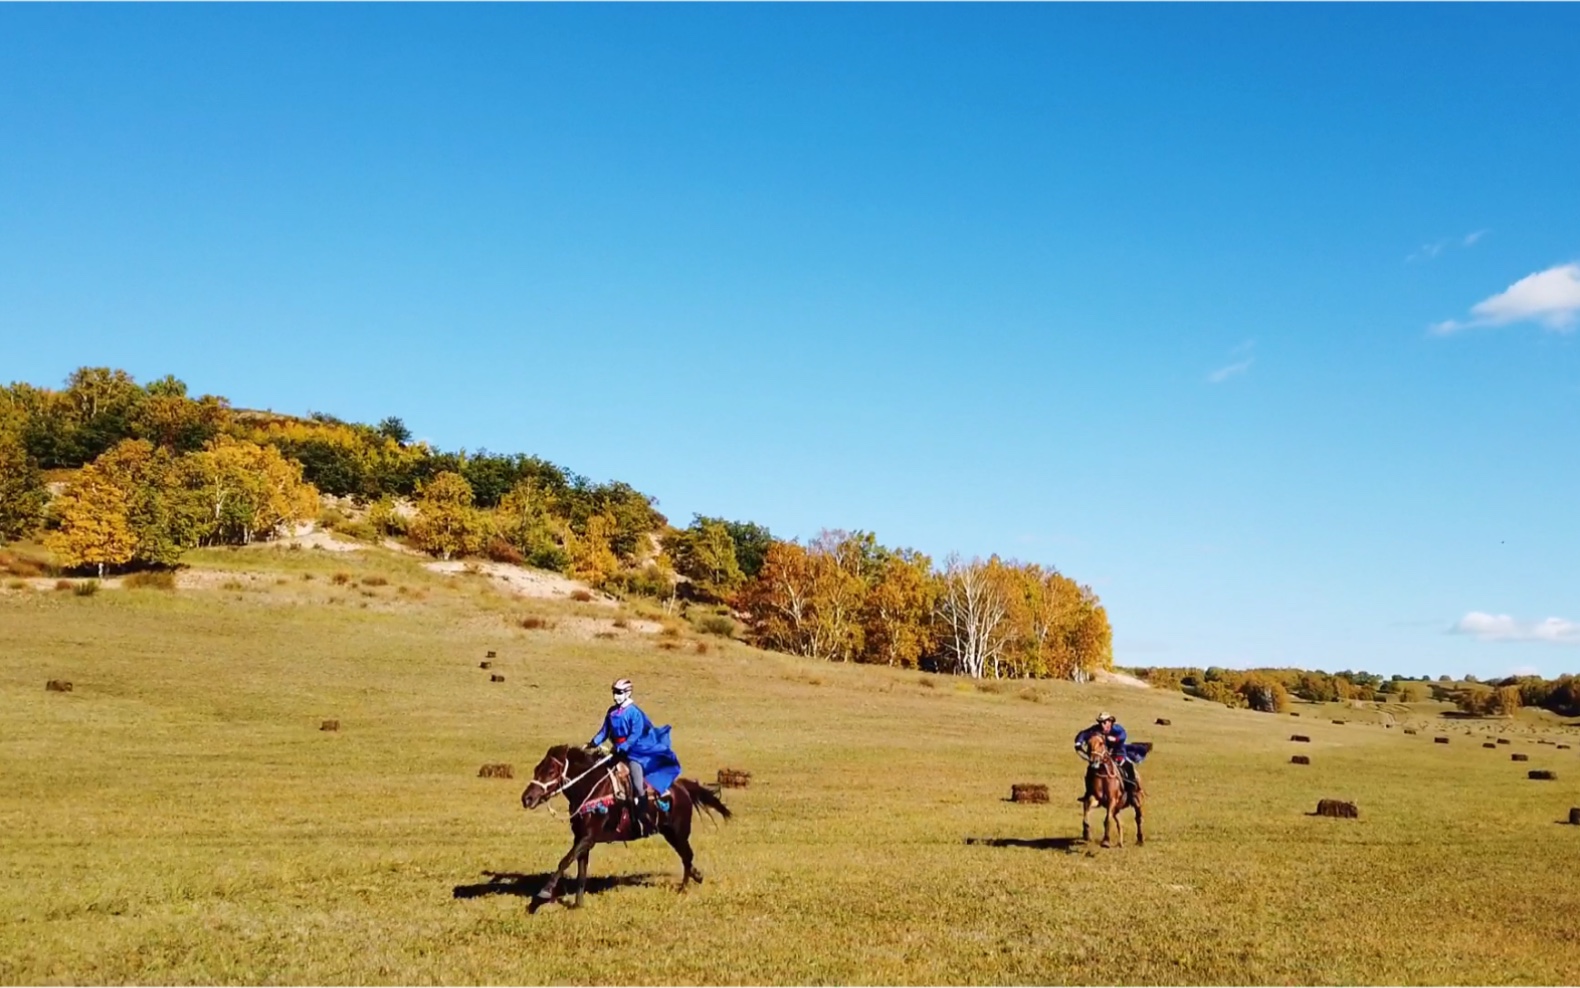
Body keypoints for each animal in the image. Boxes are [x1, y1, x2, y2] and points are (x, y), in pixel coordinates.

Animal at [524, 739, 733, 910]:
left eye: (551, 771)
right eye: (536, 769)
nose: (526, 798)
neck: (592, 789)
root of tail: (682, 786)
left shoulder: (588, 838)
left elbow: (564, 861)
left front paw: (542, 895)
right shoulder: (581, 838)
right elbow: (580, 869)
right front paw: (578, 904)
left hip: (679, 832)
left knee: (687, 856)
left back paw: (684, 888)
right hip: (670, 834)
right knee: (686, 857)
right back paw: (696, 877)